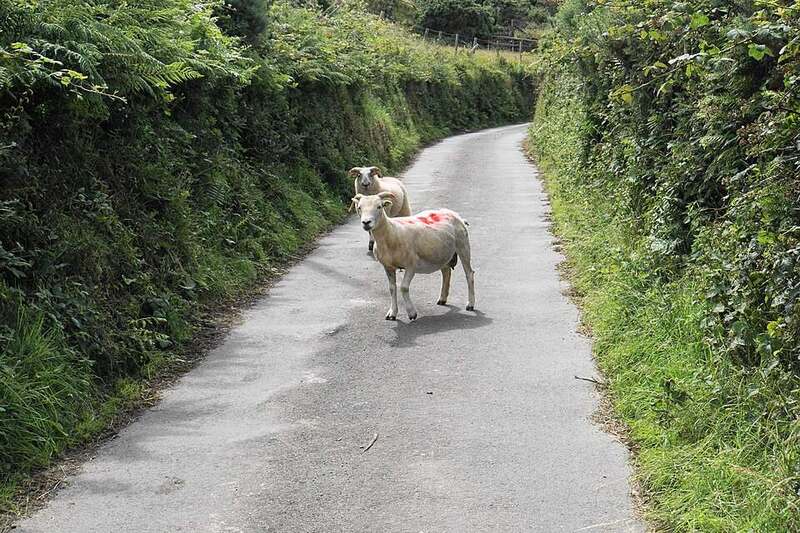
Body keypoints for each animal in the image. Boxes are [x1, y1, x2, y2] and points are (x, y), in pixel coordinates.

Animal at [352, 192, 475, 321]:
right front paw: (392, 313)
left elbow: (403, 287)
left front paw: (411, 313)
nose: (366, 223)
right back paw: (442, 298)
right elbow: (392, 288)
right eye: (359, 207)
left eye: (379, 207)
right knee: (446, 272)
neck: (391, 232)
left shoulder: (411, 265)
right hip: (442, 253)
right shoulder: (388, 267)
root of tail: (455, 214)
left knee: (469, 274)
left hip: (463, 245)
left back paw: (470, 304)